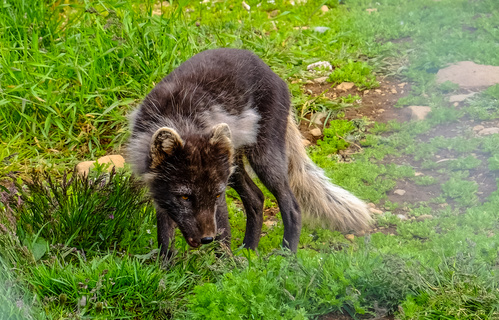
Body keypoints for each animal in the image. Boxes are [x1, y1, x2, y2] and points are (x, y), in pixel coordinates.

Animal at [129, 48, 372, 258]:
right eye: (185, 197)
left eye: (215, 195)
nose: (207, 239)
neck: (182, 119)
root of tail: (272, 72)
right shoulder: (160, 193)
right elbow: (164, 237)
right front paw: (165, 270)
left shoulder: (220, 197)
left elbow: (224, 234)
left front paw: (223, 270)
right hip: (234, 166)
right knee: (256, 198)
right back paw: (248, 251)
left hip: (263, 158)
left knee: (292, 206)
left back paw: (286, 257)